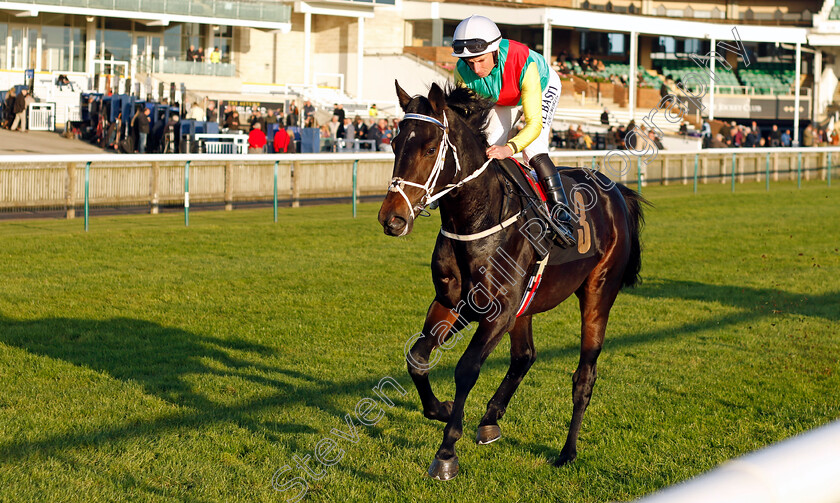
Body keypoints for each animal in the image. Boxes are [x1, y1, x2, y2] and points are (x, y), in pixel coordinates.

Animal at [378, 80, 648, 482]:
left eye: (429, 148)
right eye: (395, 144)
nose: (391, 218)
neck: (477, 218)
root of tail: (616, 190)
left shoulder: (499, 312)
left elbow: (466, 368)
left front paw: (446, 452)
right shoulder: (452, 303)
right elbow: (417, 357)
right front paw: (441, 409)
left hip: (598, 292)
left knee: (584, 376)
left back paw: (567, 452)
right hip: (528, 304)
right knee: (525, 356)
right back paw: (491, 418)